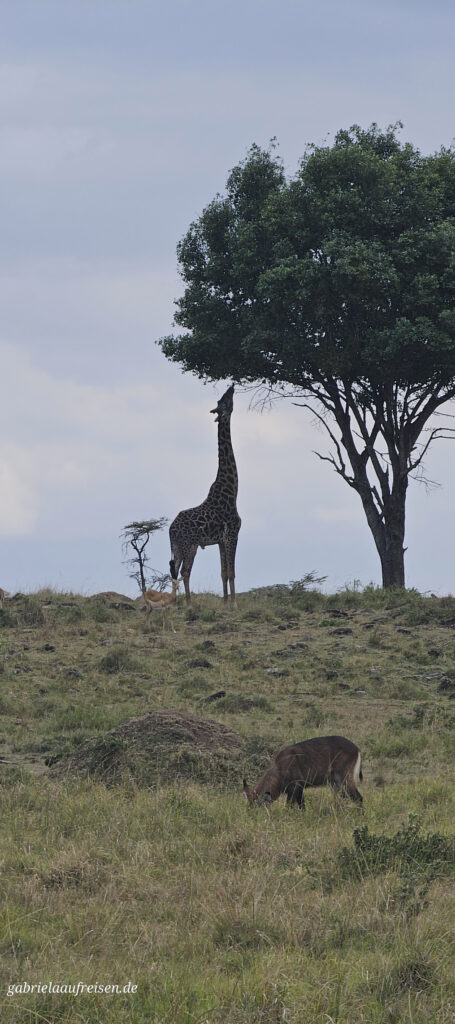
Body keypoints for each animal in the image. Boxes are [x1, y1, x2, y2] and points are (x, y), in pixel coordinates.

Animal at [169, 385, 241, 604]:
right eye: (225, 400)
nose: (232, 385)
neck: (232, 491)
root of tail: (171, 529)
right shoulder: (232, 534)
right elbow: (232, 572)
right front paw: (234, 604)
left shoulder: (220, 540)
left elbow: (223, 572)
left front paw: (226, 603)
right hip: (189, 545)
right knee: (184, 572)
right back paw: (188, 603)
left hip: (176, 546)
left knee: (174, 570)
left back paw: (173, 602)